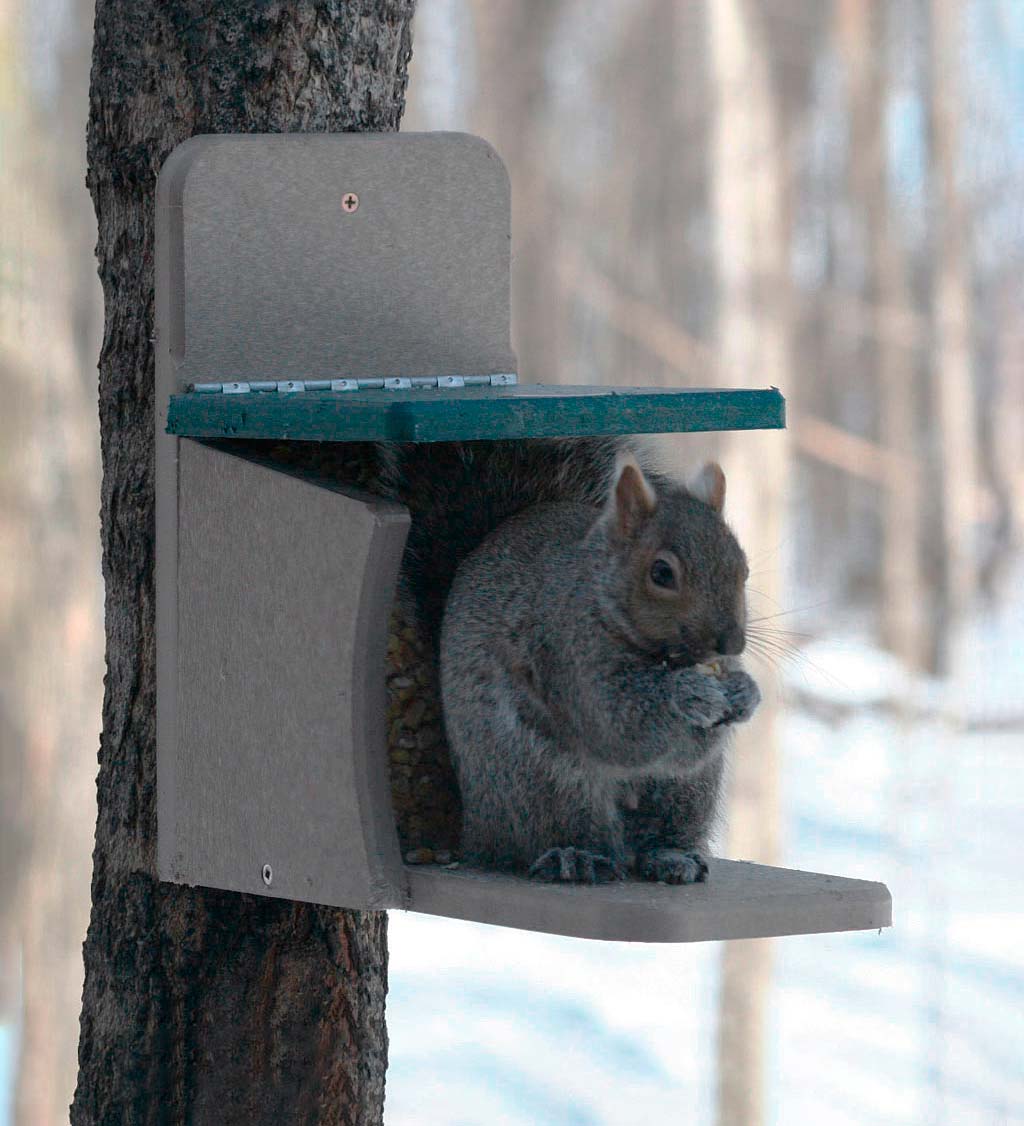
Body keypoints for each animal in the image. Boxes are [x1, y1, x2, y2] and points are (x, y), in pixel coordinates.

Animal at [376, 434, 757, 882]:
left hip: (684, 793)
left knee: (656, 831)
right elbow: (616, 724)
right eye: (661, 573)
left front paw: (744, 692)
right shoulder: (563, 650)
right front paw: (689, 694)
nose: (730, 643)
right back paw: (574, 857)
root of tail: (477, 829)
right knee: (558, 833)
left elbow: (687, 751)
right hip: (542, 782)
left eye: (743, 568)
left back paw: (670, 855)